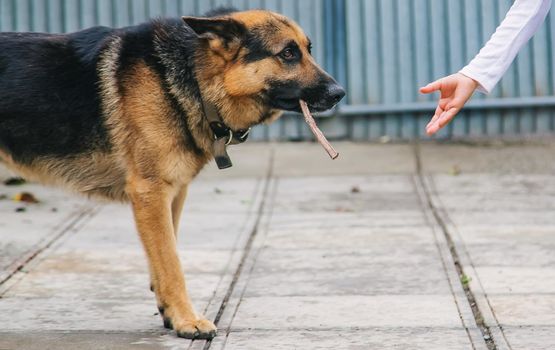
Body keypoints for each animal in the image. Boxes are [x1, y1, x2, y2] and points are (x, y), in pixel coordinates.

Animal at [0, 8, 346, 340]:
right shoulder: (150, 193)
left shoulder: (175, 192)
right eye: (287, 53)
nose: (339, 93)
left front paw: (170, 312)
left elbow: (165, 254)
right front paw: (188, 320)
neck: (193, 78)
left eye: (308, 50)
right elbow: (171, 263)